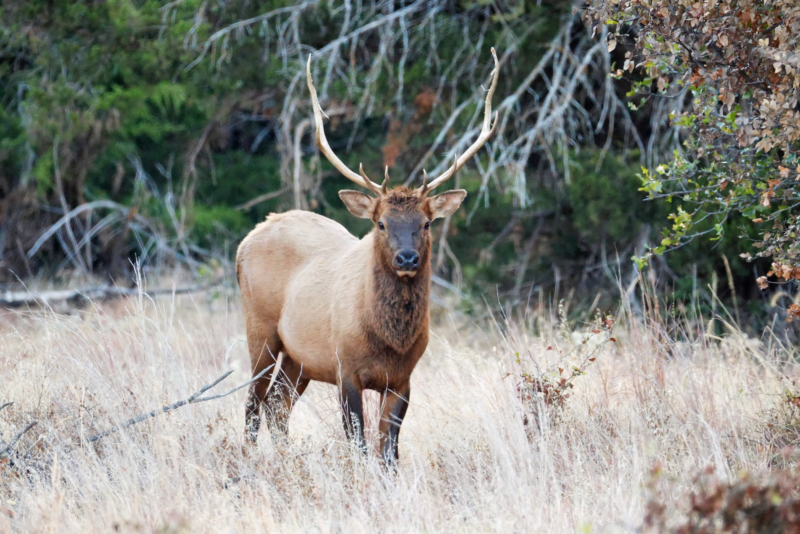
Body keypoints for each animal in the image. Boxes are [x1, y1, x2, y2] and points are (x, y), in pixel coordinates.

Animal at [238, 48, 500, 462]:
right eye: (381, 223)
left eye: (427, 223)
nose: (407, 259)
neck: (389, 343)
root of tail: (249, 237)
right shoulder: (345, 368)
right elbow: (360, 445)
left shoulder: (403, 380)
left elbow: (389, 451)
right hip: (259, 326)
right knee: (253, 400)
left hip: (300, 357)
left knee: (277, 403)